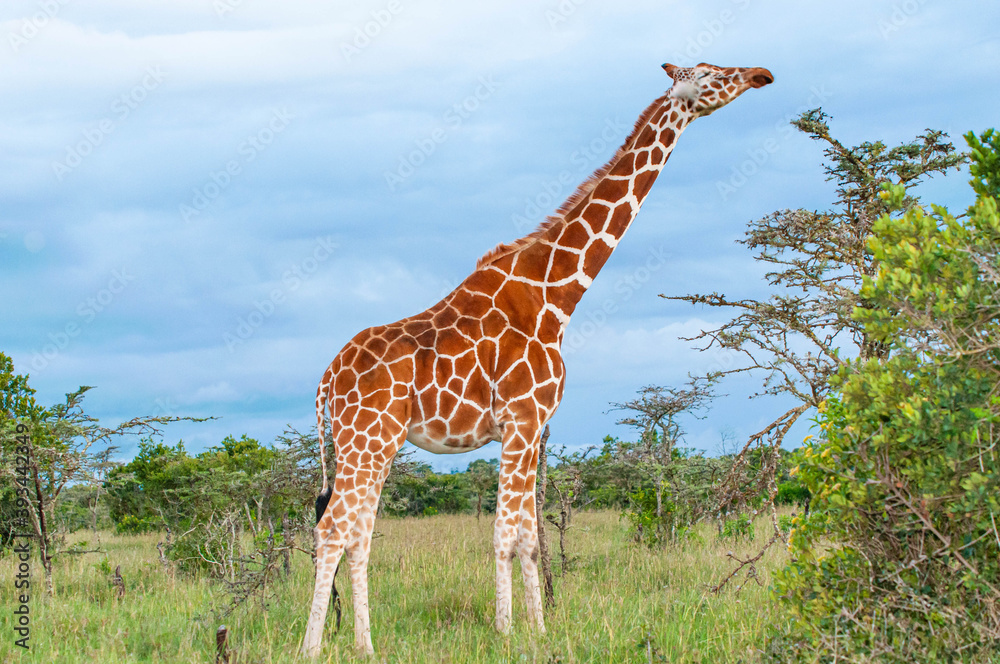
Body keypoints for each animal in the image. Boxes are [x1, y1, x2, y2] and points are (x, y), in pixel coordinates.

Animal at [302, 61, 773, 657]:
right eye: (710, 73)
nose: (761, 75)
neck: (556, 295)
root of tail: (324, 381)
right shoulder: (522, 419)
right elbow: (507, 533)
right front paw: (506, 632)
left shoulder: (527, 428)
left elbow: (528, 534)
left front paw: (539, 628)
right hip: (367, 439)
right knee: (332, 530)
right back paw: (311, 648)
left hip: (371, 445)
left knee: (358, 535)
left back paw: (366, 646)